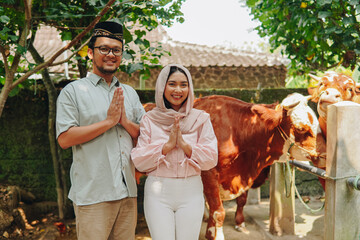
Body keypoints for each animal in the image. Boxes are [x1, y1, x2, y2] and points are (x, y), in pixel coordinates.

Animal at [194, 93, 326, 240]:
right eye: (300, 128)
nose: (325, 154)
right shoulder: (208, 174)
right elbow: (218, 211)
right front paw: (214, 234)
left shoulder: (243, 174)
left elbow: (241, 201)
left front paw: (238, 223)